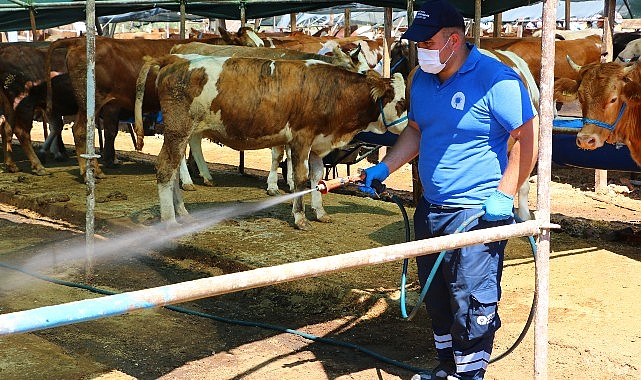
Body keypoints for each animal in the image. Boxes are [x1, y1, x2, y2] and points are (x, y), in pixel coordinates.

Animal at [134, 55, 404, 230]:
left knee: (173, 171)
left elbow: (317, 178)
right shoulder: (301, 138)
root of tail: (175, 60)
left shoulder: (319, 144)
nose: (411, 125)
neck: (333, 91)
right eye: (401, 102)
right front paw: (300, 218)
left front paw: (320, 213)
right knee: (165, 168)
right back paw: (169, 220)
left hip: (181, 133)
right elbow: (300, 178)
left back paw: (182, 213)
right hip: (178, 130)